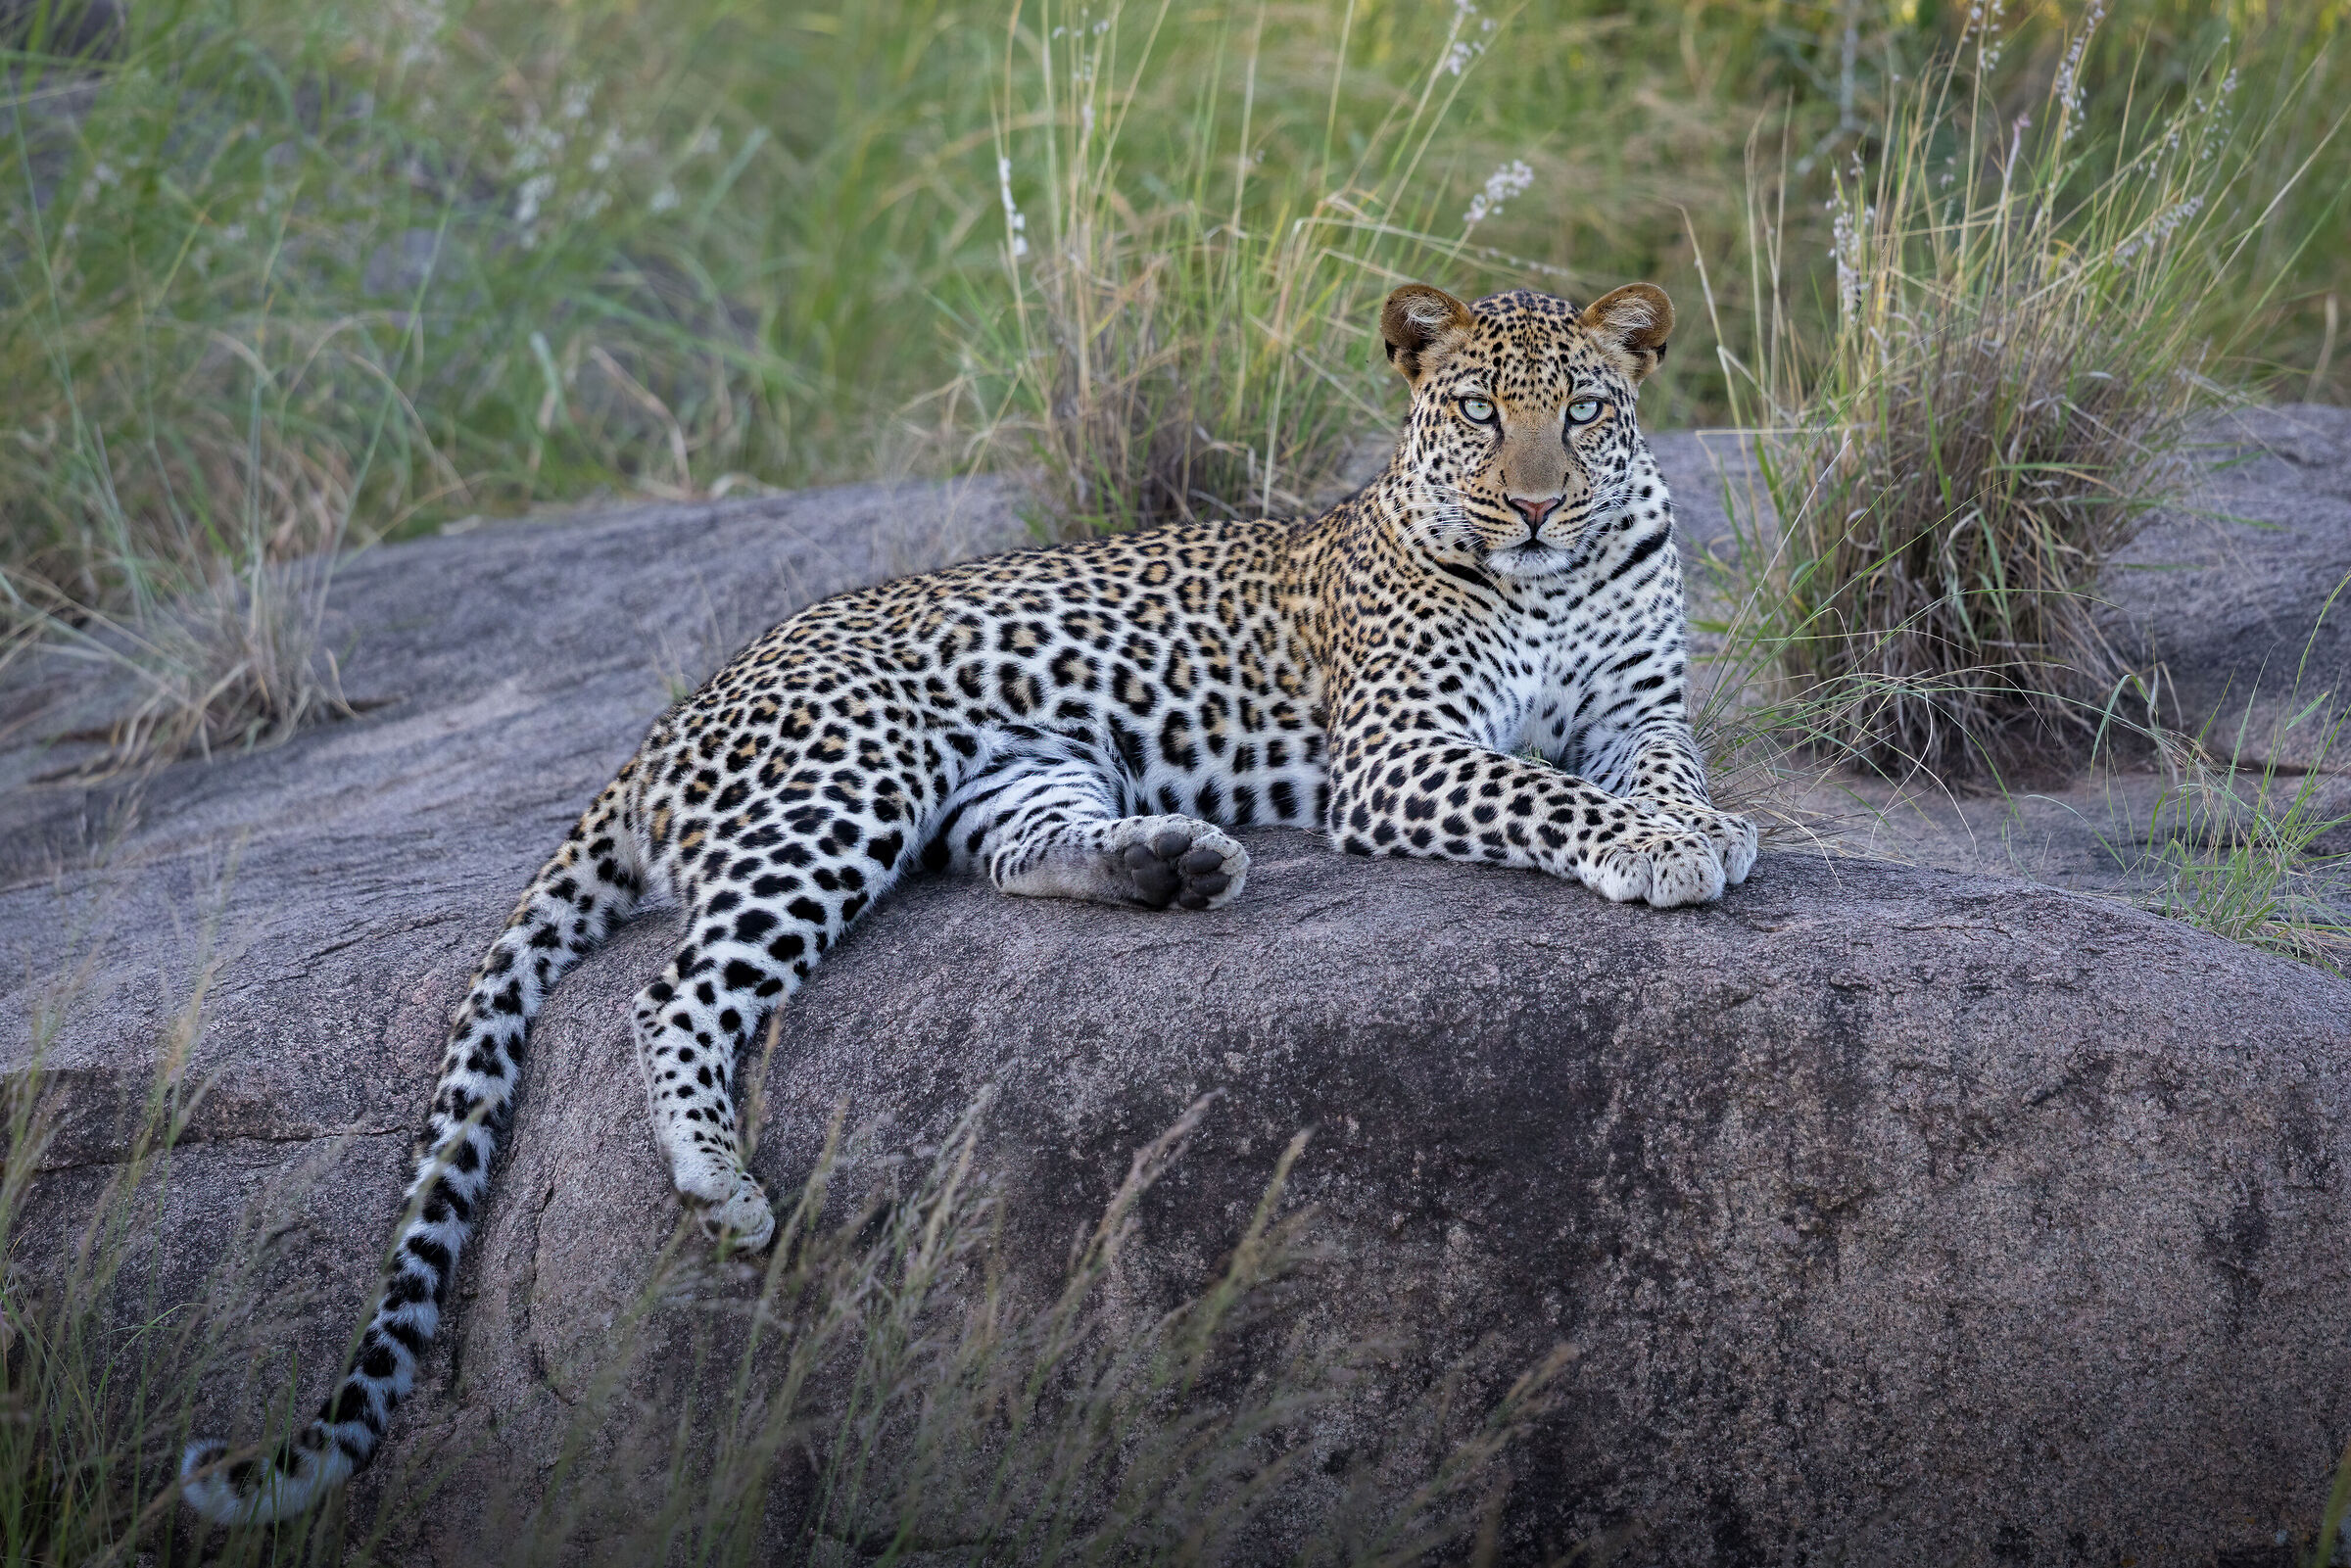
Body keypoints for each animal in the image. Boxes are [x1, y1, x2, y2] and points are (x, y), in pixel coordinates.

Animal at [181, 279, 1756, 1525]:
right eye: (1481, 414)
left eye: (1590, 414)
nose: (1539, 503)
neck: (1551, 582)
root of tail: (675, 714)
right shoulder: (1402, 754)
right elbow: (1545, 794)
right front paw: (1663, 850)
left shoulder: (1641, 707)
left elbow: (1663, 768)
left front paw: (1703, 827)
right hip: (845, 789)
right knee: (673, 986)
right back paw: (721, 1184)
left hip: (1020, 769)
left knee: (1010, 855)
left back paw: (1174, 862)